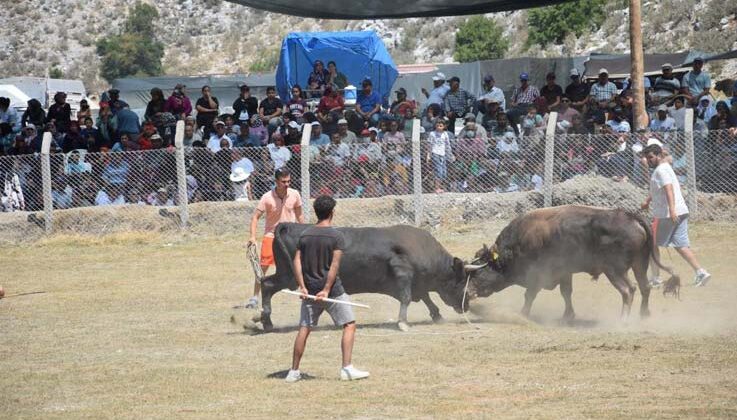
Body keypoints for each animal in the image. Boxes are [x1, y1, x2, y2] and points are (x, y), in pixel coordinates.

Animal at [254, 223, 484, 332]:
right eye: (463, 280)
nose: (467, 305)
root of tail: (288, 225)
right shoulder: (402, 273)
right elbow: (407, 297)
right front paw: (402, 322)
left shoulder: (417, 282)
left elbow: (425, 297)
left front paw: (437, 315)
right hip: (290, 277)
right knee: (267, 285)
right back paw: (266, 320)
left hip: (287, 275)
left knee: (266, 283)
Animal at [468, 205, 676, 320]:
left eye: (477, 272)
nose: (467, 292)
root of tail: (631, 217)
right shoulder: (564, 273)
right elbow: (566, 293)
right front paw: (568, 315)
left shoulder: (538, 274)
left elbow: (530, 295)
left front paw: (523, 313)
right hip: (640, 264)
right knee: (645, 287)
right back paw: (644, 315)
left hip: (615, 271)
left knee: (628, 290)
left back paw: (623, 318)